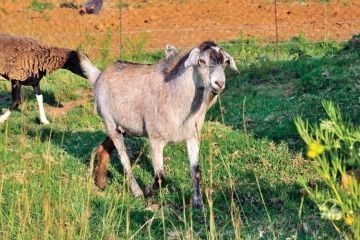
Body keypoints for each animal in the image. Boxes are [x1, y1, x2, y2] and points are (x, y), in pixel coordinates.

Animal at [88, 41, 238, 208]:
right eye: (201, 61)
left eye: (226, 62)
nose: (219, 83)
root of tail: (102, 74)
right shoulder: (155, 138)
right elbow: (160, 176)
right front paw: (148, 191)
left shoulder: (192, 136)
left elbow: (196, 171)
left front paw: (198, 204)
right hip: (110, 122)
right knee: (125, 160)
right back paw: (137, 191)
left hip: (122, 125)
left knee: (103, 148)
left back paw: (101, 181)